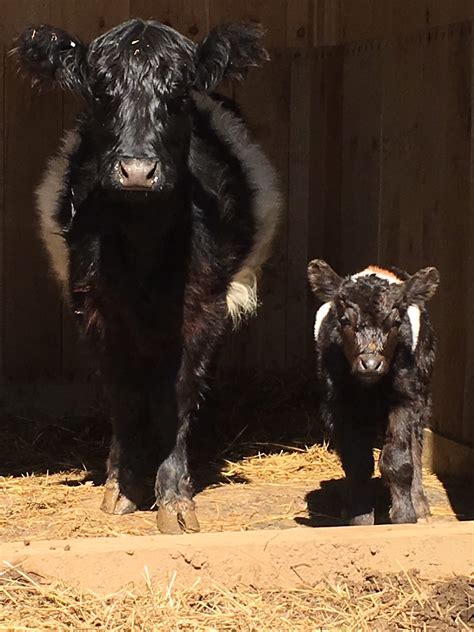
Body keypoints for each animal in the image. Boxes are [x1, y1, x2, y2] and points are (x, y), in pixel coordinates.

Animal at [15, 19, 282, 532]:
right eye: (100, 93)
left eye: (177, 94)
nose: (137, 171)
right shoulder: (94, 308)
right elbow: (122, 394)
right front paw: (122, 483)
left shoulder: (203, 306)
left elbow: (177, 395)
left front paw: (175, 497)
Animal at [308, 260, 440, 524]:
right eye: (345, 320)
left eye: (396, 322)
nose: (370, 364)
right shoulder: (336, 404)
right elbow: (357, 462)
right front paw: (359, 518)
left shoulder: (405, 398)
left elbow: (397, 459)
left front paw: (405, 515)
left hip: (422, 388)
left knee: (415, 444)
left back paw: (420, 504)